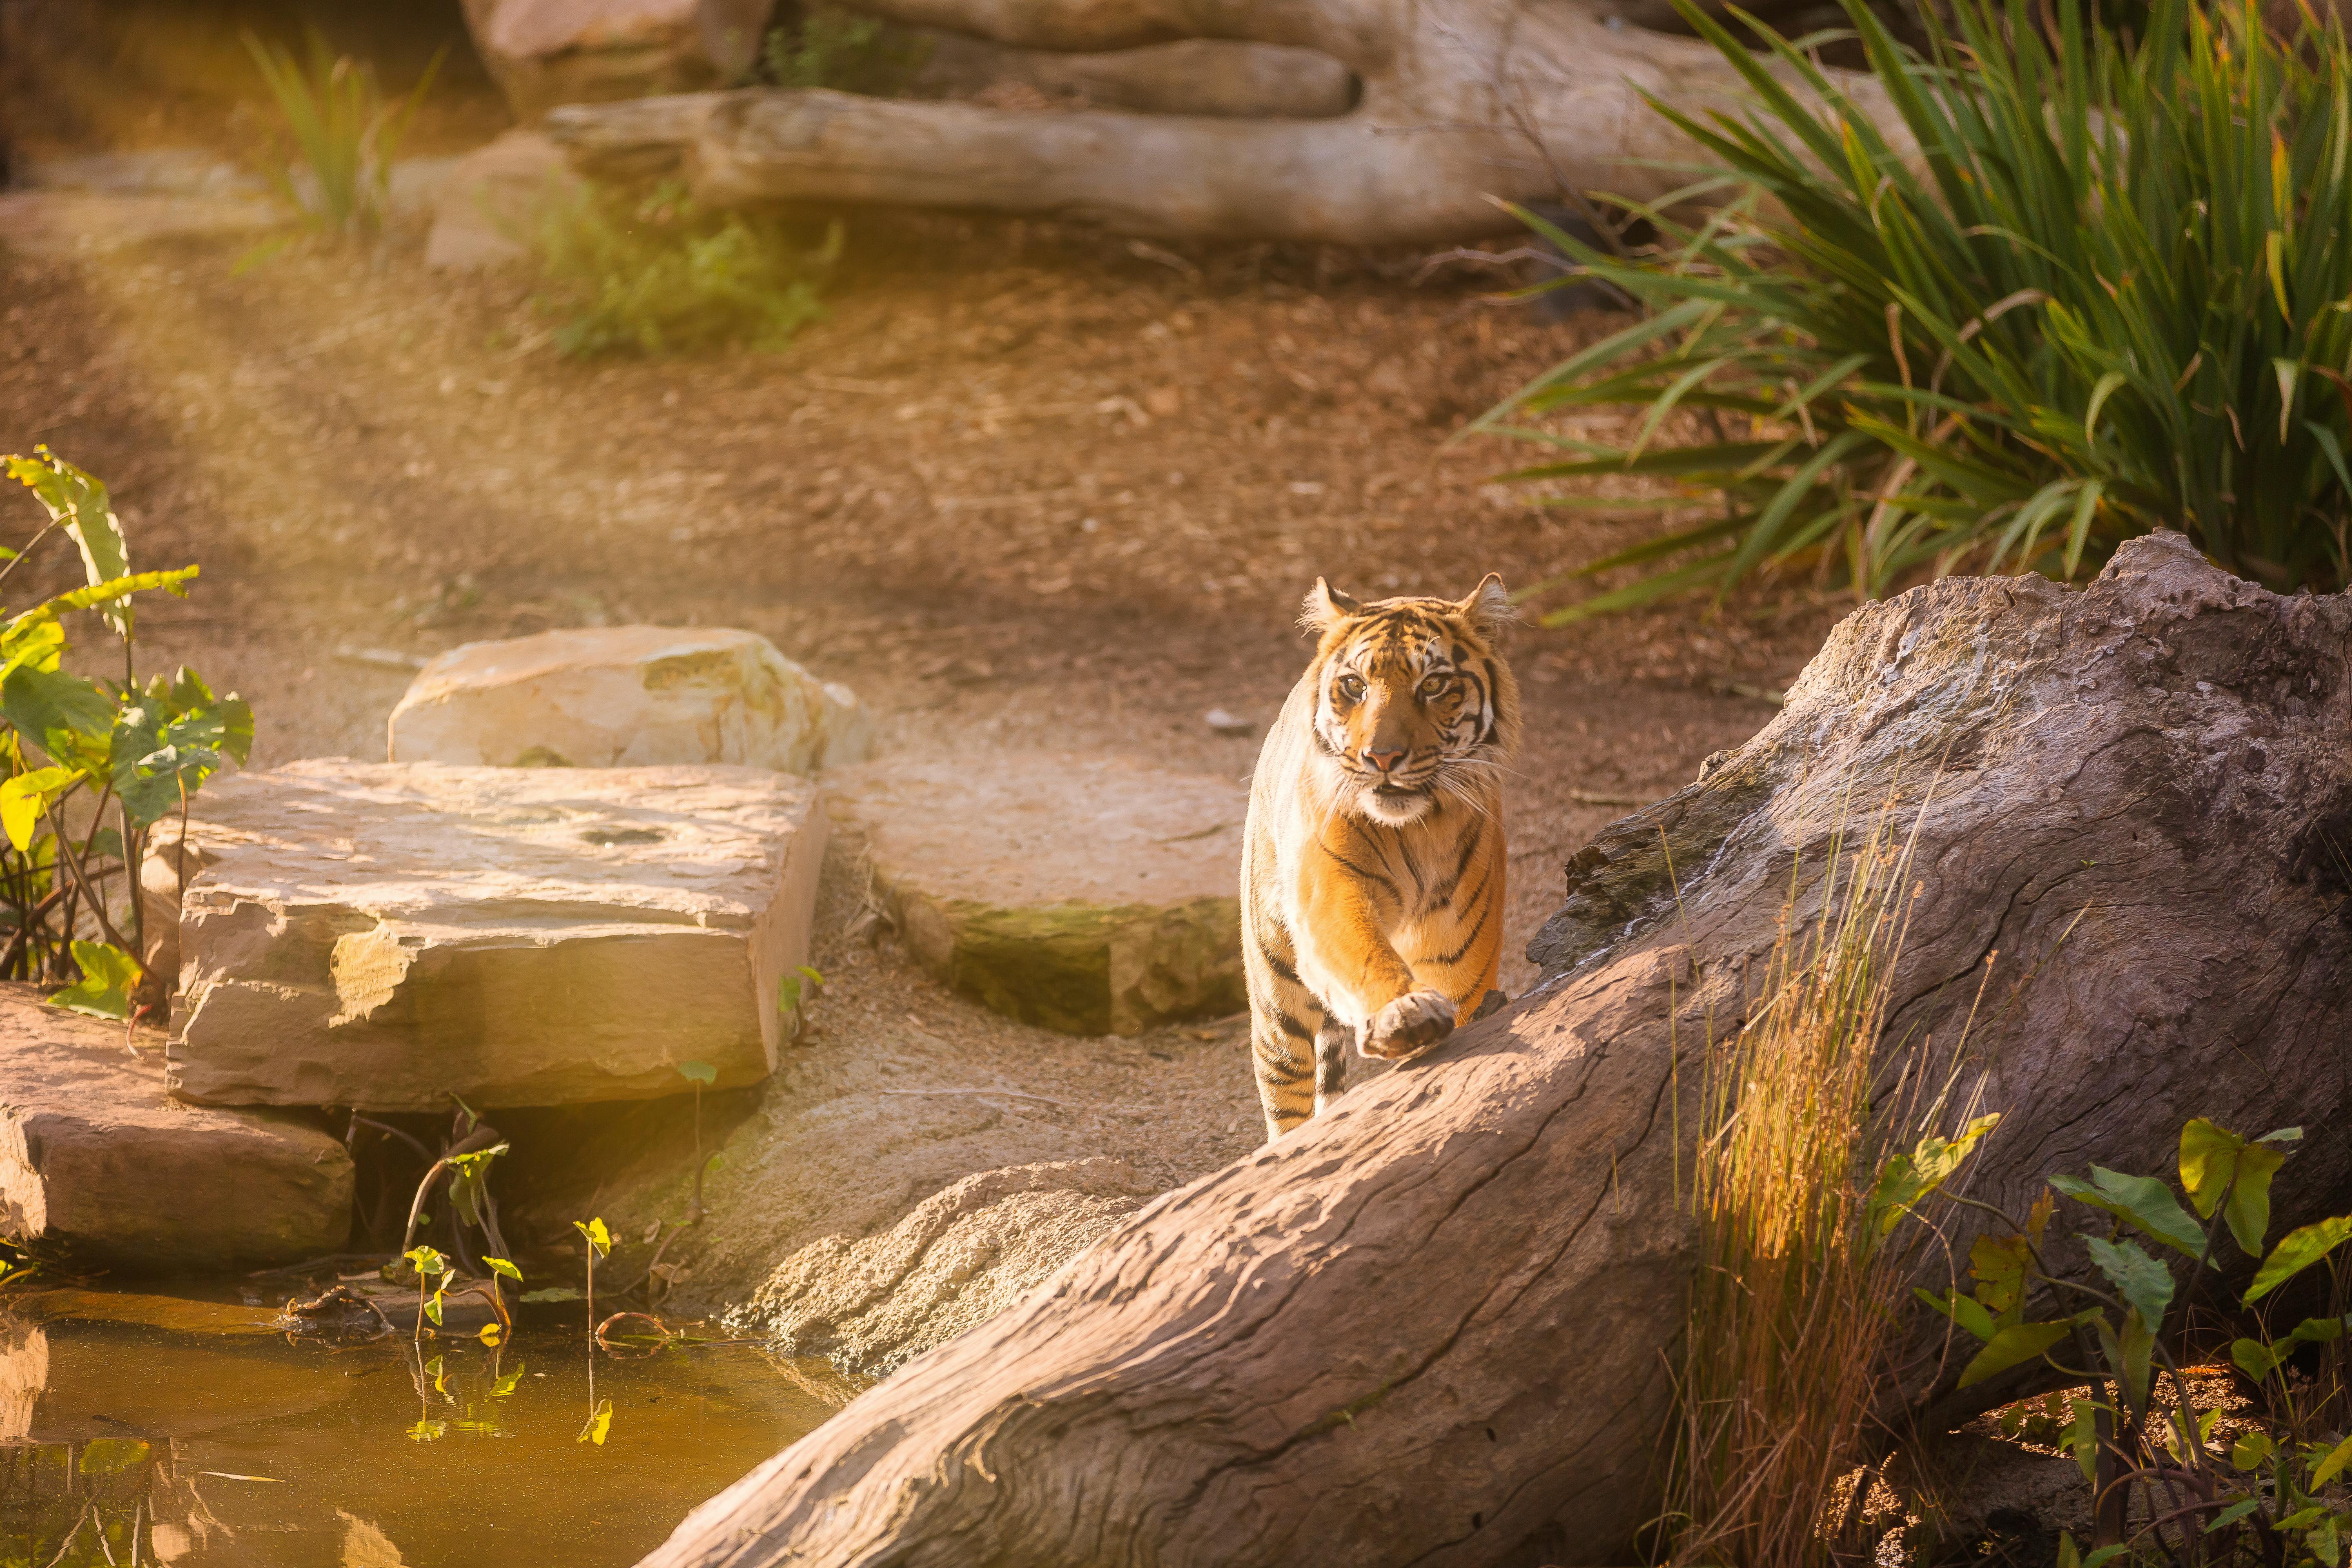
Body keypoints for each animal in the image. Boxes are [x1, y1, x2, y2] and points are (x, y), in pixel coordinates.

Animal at [1242, 576, 1515, 1142]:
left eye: (1433, 686)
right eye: (1354, 686)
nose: (1382, 758)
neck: (1416, 830)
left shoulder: (1459, 955)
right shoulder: (1331, 892)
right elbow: (1365, 954)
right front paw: (1404, 1012)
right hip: (1275, 987)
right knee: (1286, 1089)